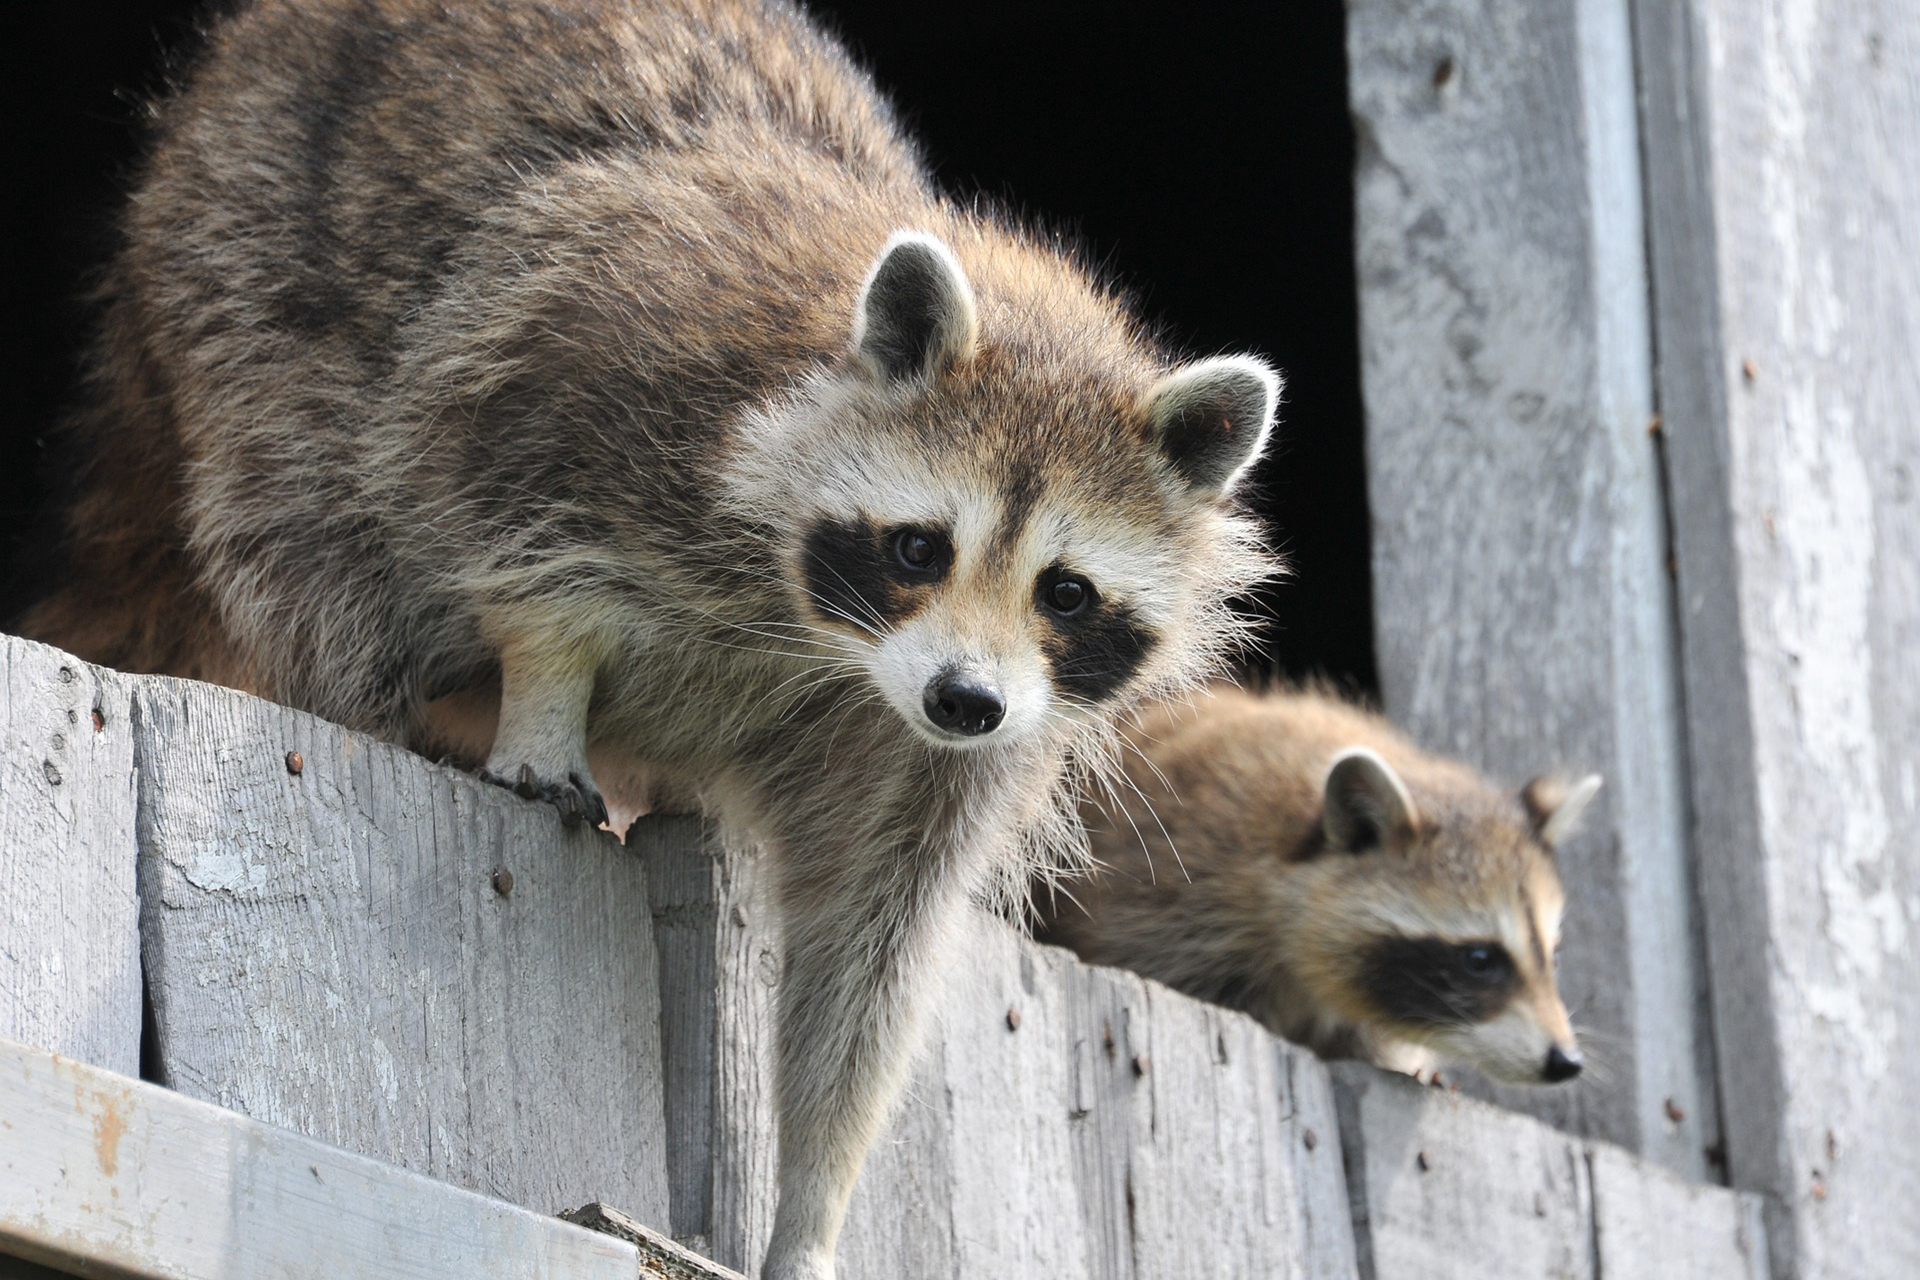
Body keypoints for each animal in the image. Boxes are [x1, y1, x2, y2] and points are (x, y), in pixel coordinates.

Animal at [22, 5, 1282, 1274]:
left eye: (1064, 592)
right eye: (921, 547)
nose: (965, 699)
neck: (826, 637)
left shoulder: (933, 747)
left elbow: (869, 953)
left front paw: (814, 1200)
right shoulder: (595, 361)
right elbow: (509, 520)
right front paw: (543, 692)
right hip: (239, 241)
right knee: (303, 511)